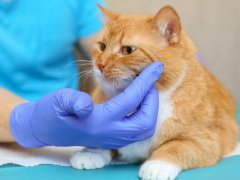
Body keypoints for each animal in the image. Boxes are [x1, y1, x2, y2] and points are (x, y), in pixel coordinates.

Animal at [70, 4, 238, 180]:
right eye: (102, 46)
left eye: (128, 50)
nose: (100, 65)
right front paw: (90, 152)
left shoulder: (206, 140)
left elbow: (175, 146)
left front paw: (158, 165)